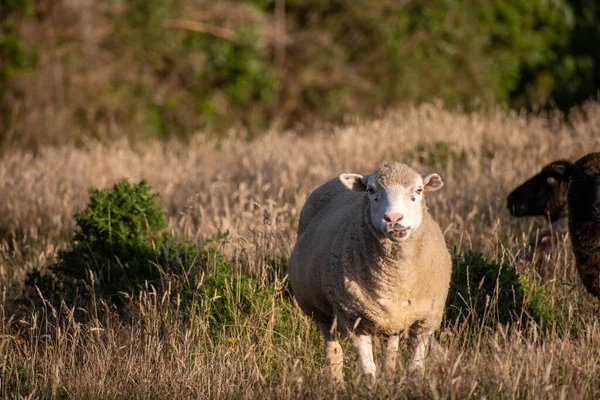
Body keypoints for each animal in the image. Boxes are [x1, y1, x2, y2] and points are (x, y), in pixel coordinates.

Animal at [290, 162, 450, 384]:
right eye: (371, 190)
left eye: (418, 191)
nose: (393, 218)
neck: (397, 278)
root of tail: (333, 181)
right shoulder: (353, 319)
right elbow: (368, 370)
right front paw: (370, 387)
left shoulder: (426, 320)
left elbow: (415, 368)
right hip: (320, 308)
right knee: (333, 350)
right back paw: (336, 383)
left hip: (392, 318)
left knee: (390, 351)